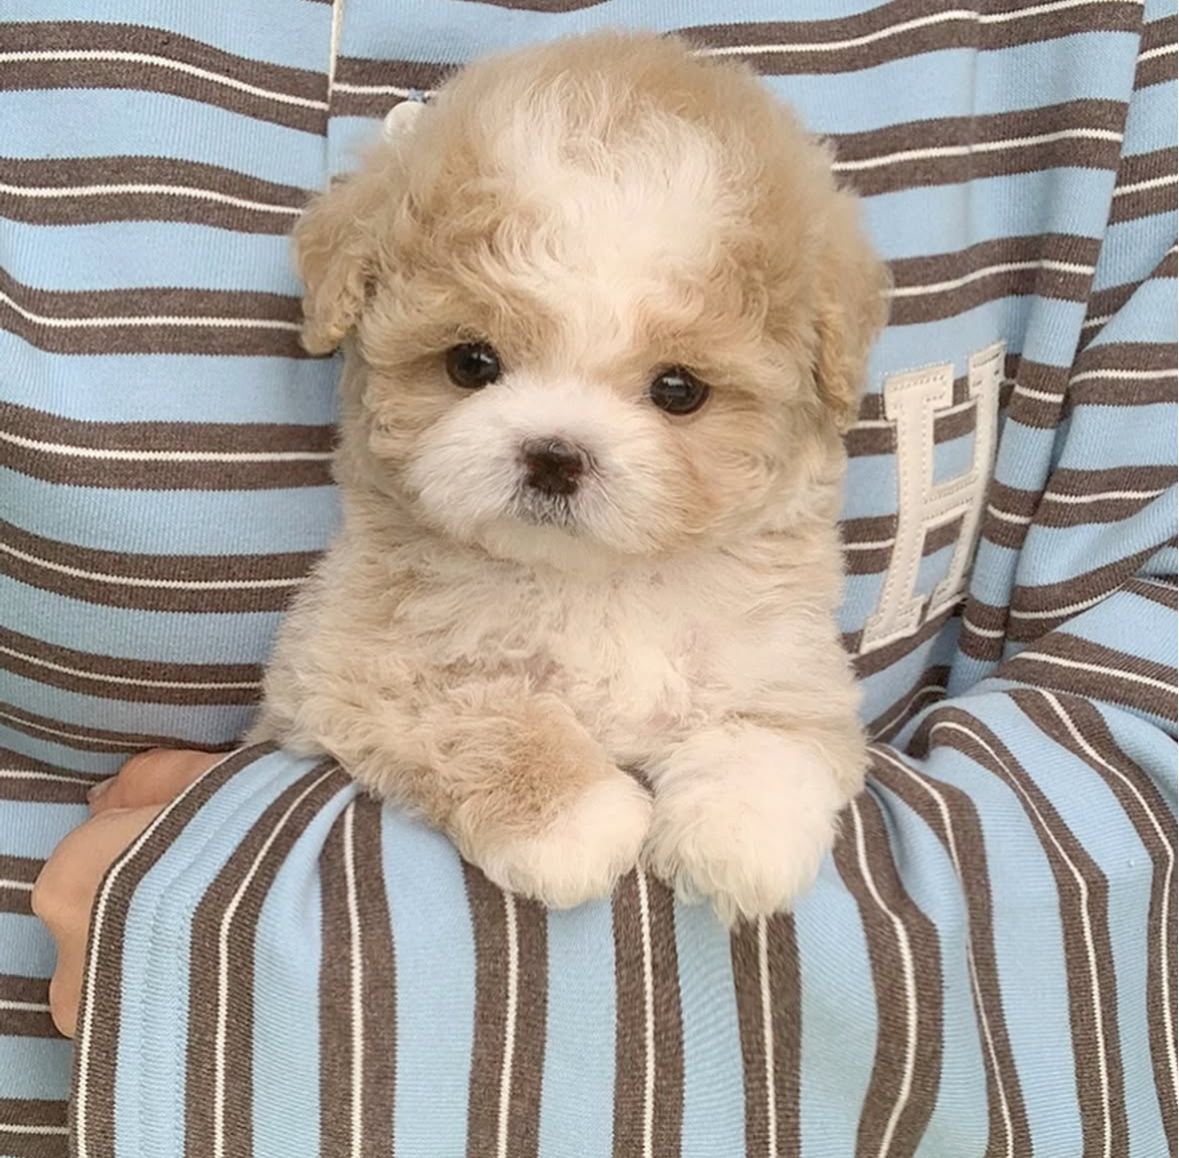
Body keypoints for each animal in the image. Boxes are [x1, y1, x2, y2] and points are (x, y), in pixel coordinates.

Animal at [250, 32, 889, 925]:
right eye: (471, 363)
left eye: (678, 389)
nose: (554, 455)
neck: (594, 586)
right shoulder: (349, 664)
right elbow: (482, 710)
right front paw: (572, 821)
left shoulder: (785, 658)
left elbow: (769, 733)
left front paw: (740, 836)